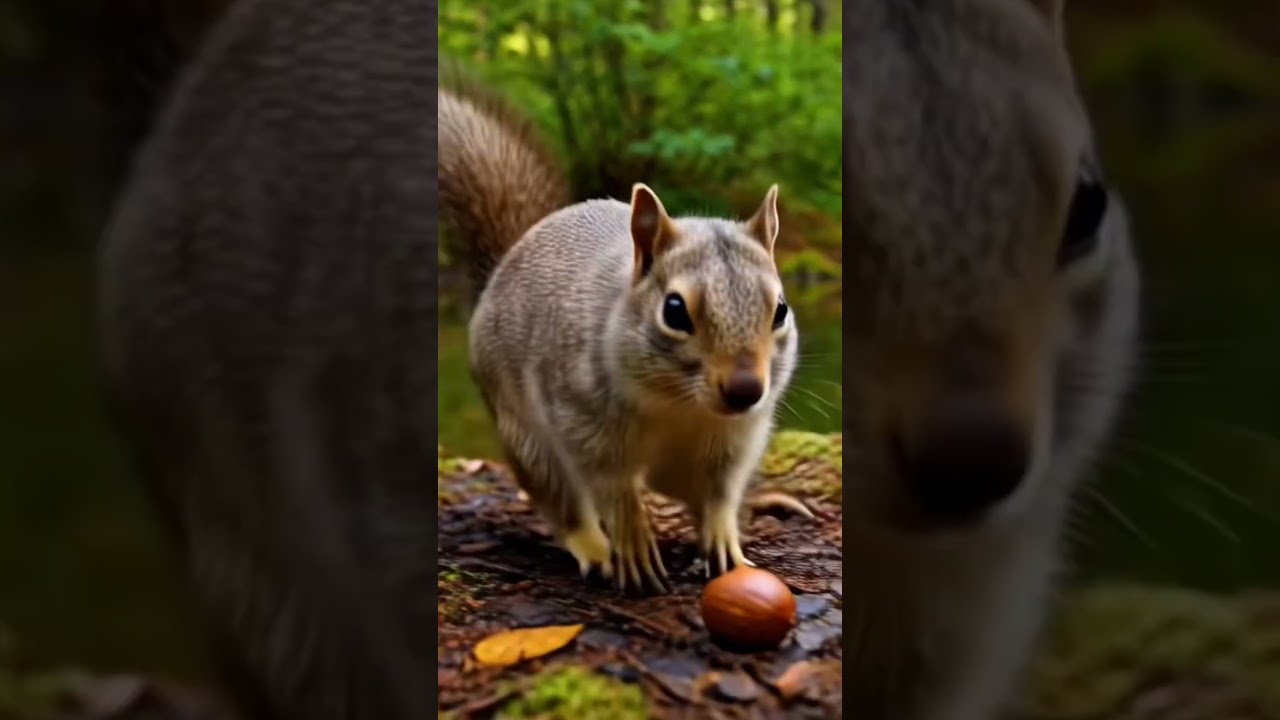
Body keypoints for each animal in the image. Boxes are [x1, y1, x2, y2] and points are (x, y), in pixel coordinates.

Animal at [439, 69, 799, 592]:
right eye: (674, 310)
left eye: (781, 309)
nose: (745, 390)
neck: (681, 406)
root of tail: (502, 268)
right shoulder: (582, 420)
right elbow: (614, 487)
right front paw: (632, 537)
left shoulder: (734, 441)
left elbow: (719, 494)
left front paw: (723, 537)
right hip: (525, 435)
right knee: (562, 499)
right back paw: (594, 547)